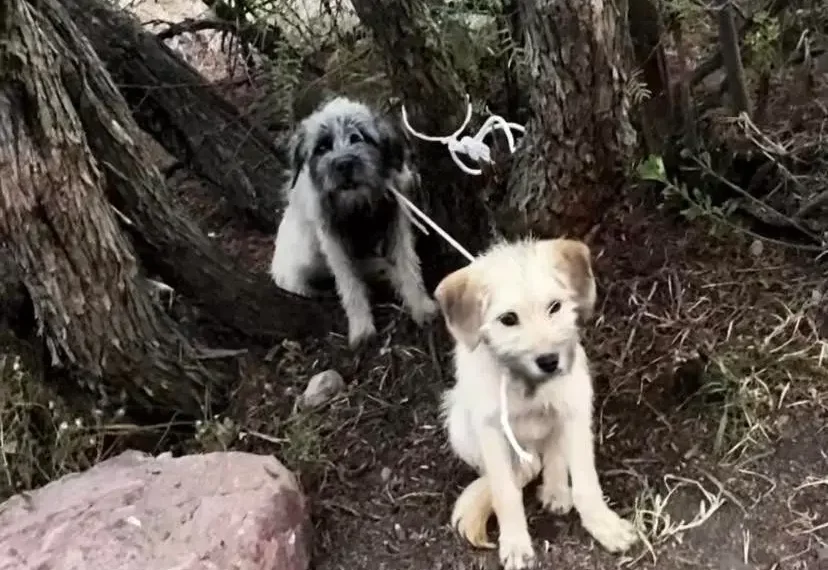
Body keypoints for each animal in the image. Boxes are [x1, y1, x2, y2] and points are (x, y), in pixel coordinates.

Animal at [436, 237, 636, 564]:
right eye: (508, 319)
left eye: (554, 306)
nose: (549, 361)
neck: (524, 380)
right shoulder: (490, 429)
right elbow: (505, 491)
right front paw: (515, 543)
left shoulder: (575, 407)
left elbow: (586, 483)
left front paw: (603, 525)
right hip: (459, 424)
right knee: (520, 469)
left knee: (550, 454)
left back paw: (556, 489)